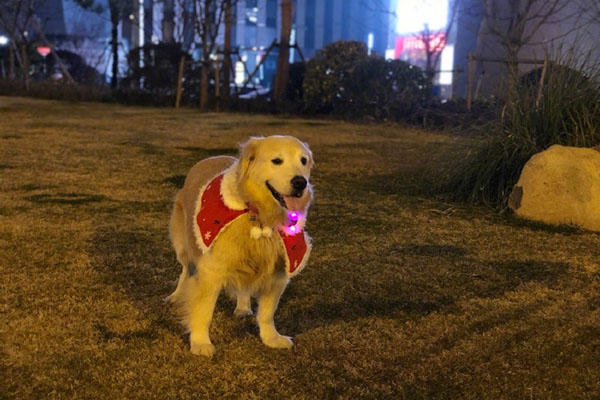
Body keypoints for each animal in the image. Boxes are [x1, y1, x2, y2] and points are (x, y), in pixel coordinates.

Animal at [166, 135, 312, 356]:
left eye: (303, 161)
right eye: (277, 161)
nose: (300, 182)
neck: (258, 216)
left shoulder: (279, 270)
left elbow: (267, 313)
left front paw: (271, 338)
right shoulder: (210, 268)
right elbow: (203, 310)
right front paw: (200, 342)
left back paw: (243, 307)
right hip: (184, 245)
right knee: (186, 269)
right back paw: (175, 295)